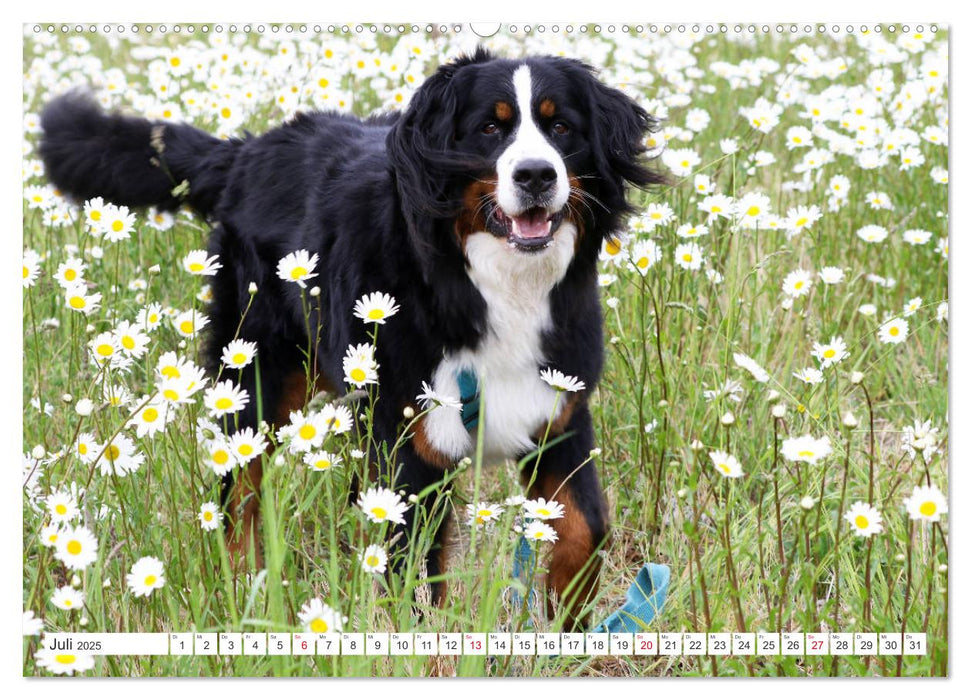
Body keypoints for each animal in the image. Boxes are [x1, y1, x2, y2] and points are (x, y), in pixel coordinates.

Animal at [38, 49, 660, 628]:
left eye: (562, 128)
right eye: (490, 128)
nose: (536, 174)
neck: (492, 286)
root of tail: (248, 151)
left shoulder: (558, 413)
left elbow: (584, 529)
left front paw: (565, 627)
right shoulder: (411, 438)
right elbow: (416, 582)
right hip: (259, 375)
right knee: (238, 496)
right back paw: (244, 594)